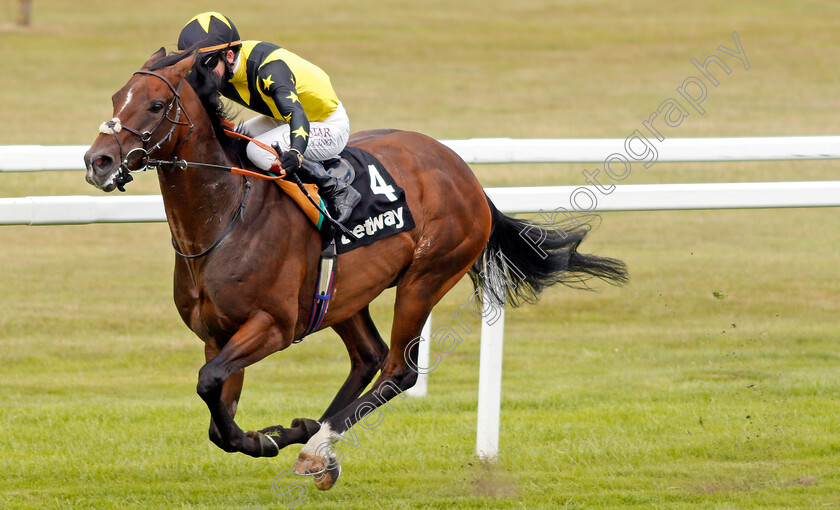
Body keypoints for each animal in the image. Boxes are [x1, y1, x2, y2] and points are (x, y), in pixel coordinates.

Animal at [85, 48, 628, 490]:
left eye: (156, 105)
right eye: (115, 98)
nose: (97, 160)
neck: (225, 218)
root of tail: (466, 174)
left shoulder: (273, 325)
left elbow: (209, 384)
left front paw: (276, 437)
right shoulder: (217, 334)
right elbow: (219, 413)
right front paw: (277, 433)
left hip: (426, 277)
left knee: (397, 370)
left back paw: (317, 445)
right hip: (344, 295)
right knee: (368, 356)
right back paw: (316, 441)